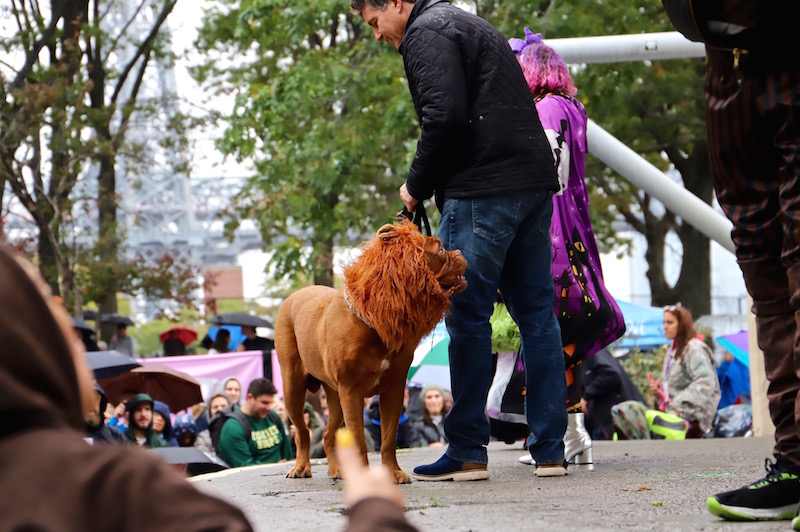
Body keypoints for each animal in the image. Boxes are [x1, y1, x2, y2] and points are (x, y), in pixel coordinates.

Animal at [276, 218, 466, 484]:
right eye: (439, 249)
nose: (459, 252)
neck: (375, 322)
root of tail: (293, 296)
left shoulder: (393, 389)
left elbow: (388, 438)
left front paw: (393, 472)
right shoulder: (351, 392)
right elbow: (359, 441)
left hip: (333, 397)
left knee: (328, 433)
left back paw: (337, 470)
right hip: (293, 386)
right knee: (302, 432)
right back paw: (301, 467)